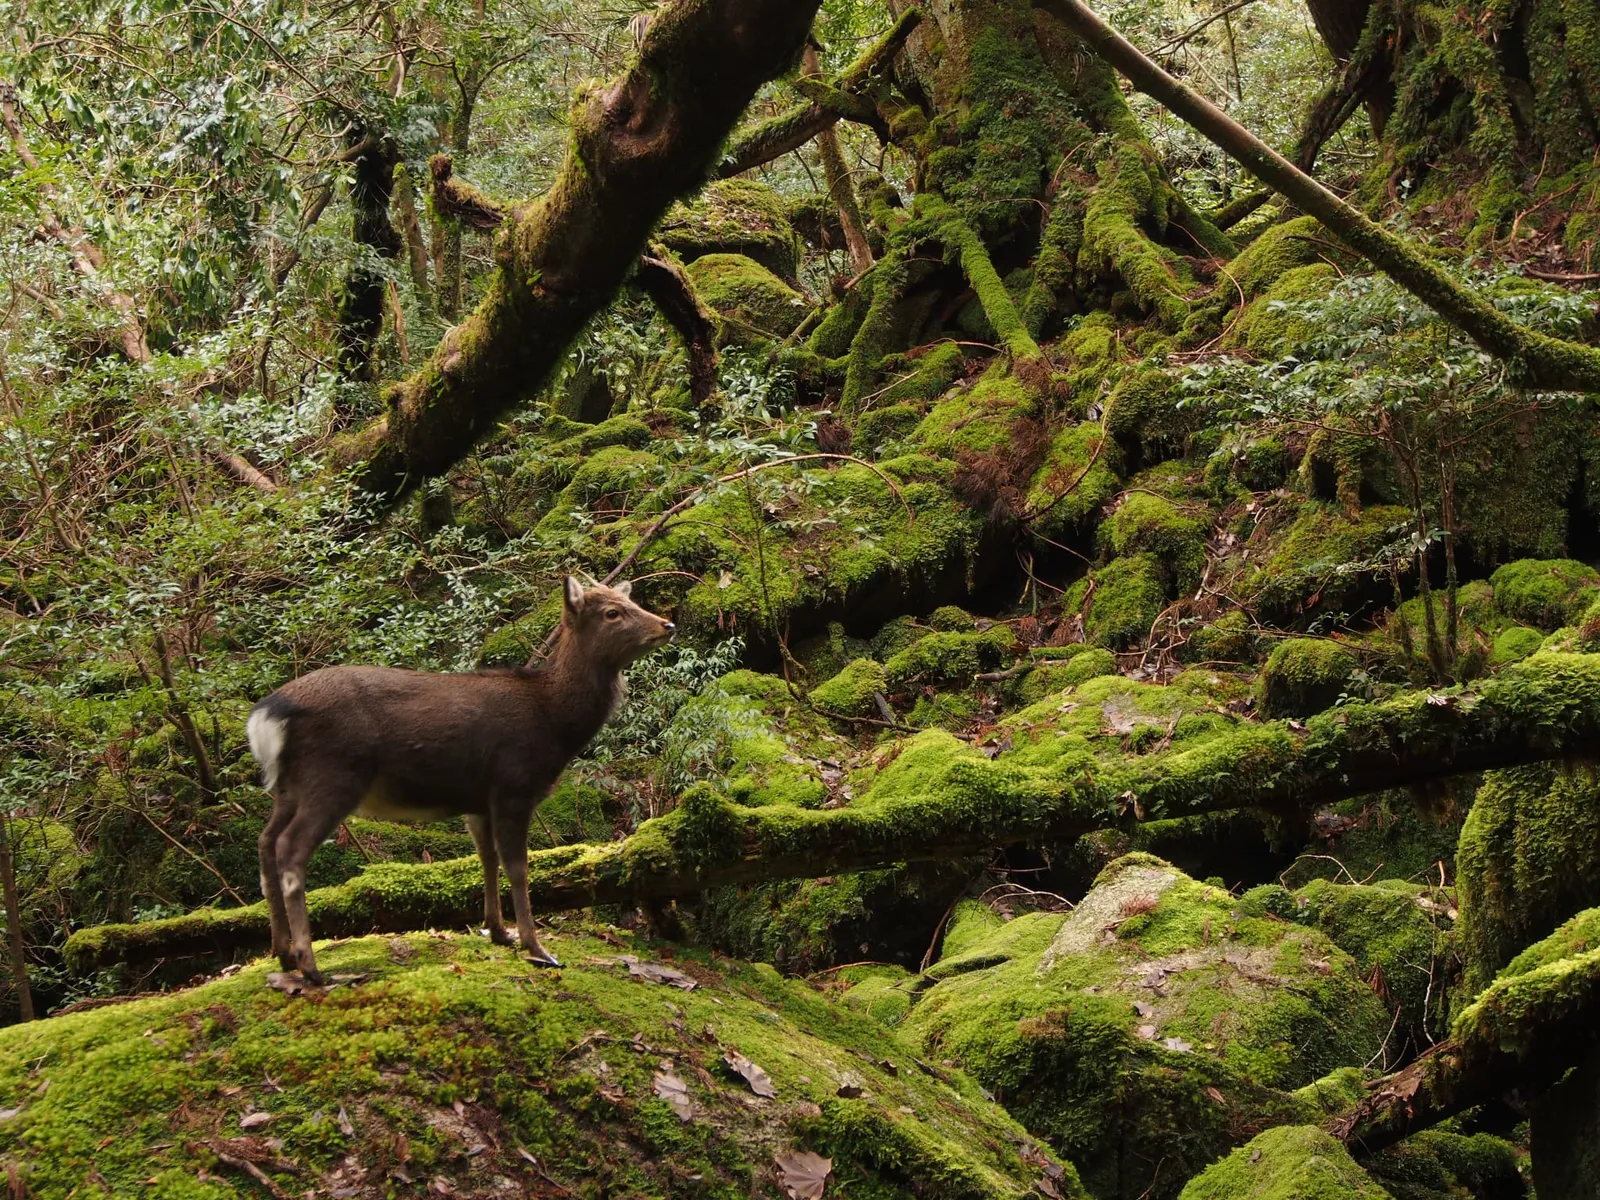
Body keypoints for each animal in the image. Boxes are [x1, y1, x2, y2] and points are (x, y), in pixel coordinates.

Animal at [246, 577, 675, 984]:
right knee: (290, 848)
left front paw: (498, 932)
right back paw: (311, 966)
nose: (667, 624)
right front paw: (536, 947)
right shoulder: (513, 784)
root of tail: (267, 715)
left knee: (265, 841)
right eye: (612, 612)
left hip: (288, 787)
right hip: (333, 776)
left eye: (631, 602)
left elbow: (486, 858)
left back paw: (282, 953)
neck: (555, 722)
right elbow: (518, 866)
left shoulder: (478, 801)